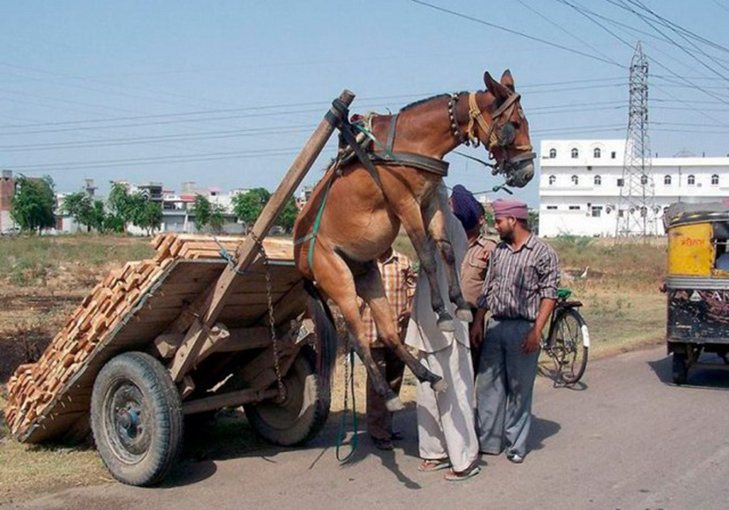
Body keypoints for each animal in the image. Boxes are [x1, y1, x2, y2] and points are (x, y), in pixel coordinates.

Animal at [292, 70, 536, 410]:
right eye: (513, 123)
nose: (527, 172)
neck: (413, 141)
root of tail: (299, 258)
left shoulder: (430, 200)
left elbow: (446, 250)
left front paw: (460, 304)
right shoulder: (405, 204)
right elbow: (427, 255)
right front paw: (443, 313)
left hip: (366, 276)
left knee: (389, 333)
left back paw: (430, 377)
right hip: (338, 281)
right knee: (357, 339)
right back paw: (388, 394)